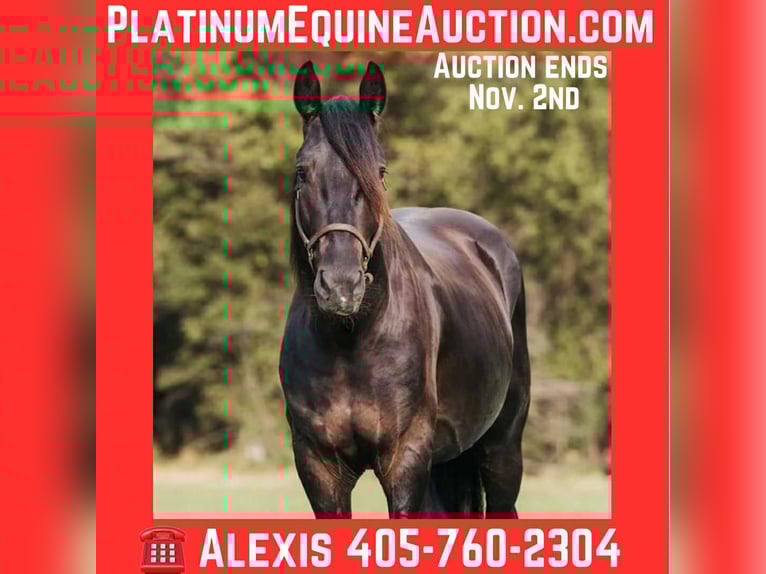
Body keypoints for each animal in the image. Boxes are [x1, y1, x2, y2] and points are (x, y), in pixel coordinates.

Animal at [279, 60, 531, 518]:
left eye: (380, 172)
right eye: (302, 172)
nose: (341, 287)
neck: (350, 342)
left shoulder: (404, 459)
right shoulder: (318, 467)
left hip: (502, 449)